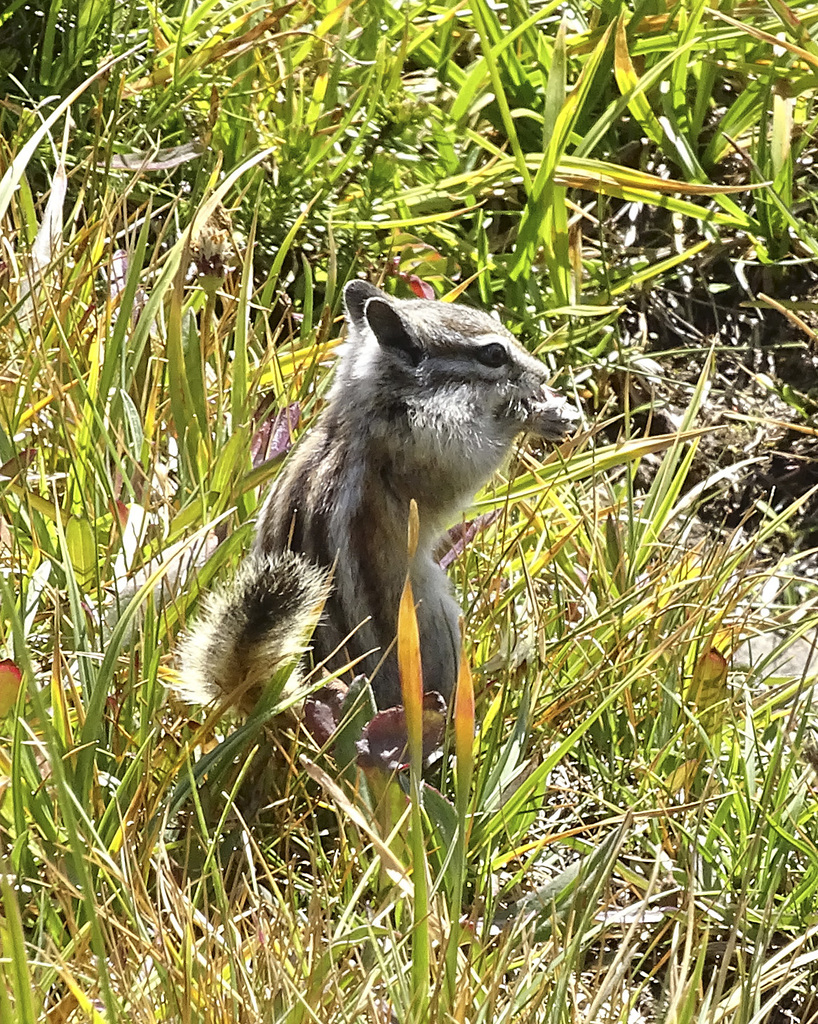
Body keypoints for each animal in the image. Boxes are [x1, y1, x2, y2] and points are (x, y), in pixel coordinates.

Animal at [177, 279, 579, 713]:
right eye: (493, 354)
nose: (543, 372)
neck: (374, 404)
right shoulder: (430, 446)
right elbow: (471, 463)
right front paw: (535, 415)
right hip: (433, 630)